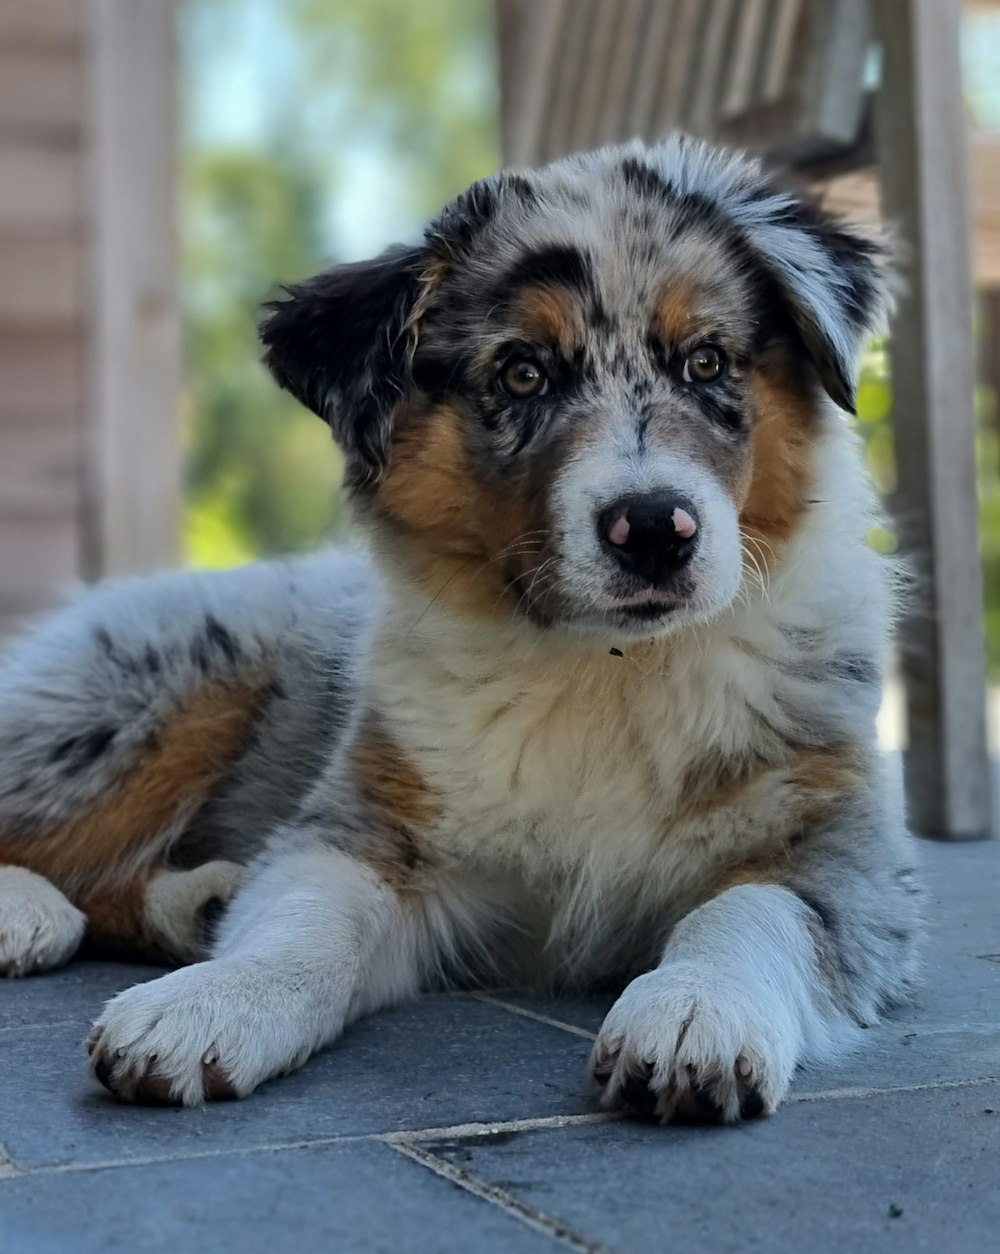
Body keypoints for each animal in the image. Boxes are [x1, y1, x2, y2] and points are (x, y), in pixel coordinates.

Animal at [0, 139, 918, 1128]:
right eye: (522, 374)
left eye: (708, 363)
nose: (653, 529)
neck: (608, 665)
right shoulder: (365, 829)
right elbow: (302, 928)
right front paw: (210, 1003)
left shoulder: (844, 845)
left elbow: (749, 912)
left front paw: (694, 1011)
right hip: (140, 704)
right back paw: (34, 914)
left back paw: (192, 906)